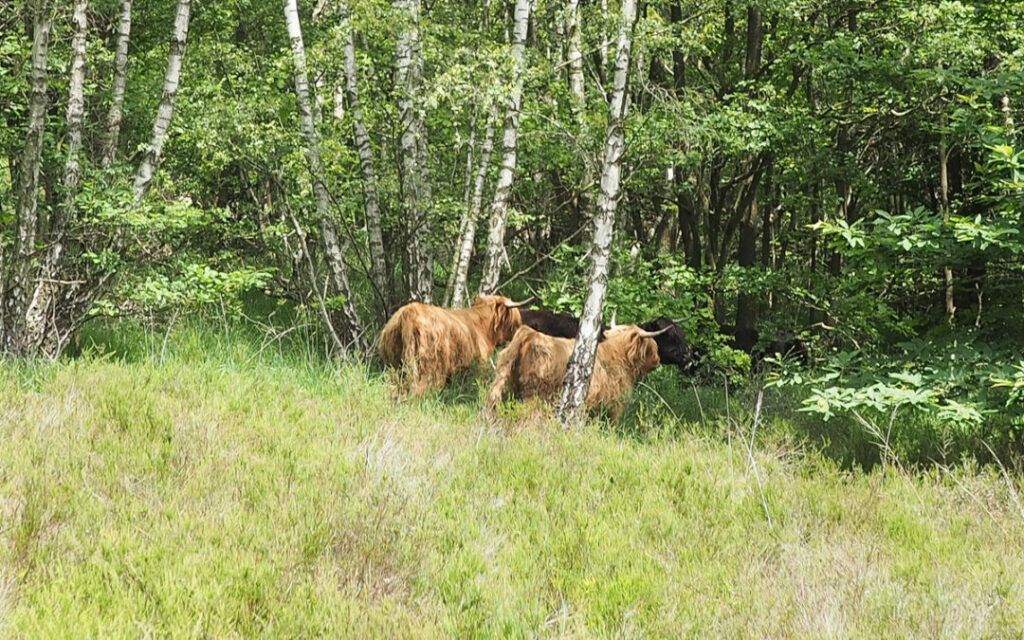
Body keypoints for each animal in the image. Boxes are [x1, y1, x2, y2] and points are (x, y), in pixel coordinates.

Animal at [379, 294, 532, 395]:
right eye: (515, 321)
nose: (519, 331)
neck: (482, 327)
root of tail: (409, 313)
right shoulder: (481, 363)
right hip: (430, 368)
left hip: (394, 366)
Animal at [487, 322, 669, 420]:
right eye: (652, 346)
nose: (658, 359)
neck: (618, 356)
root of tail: (530, 334)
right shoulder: (615, 404)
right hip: (537, 395)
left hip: (513, 386)